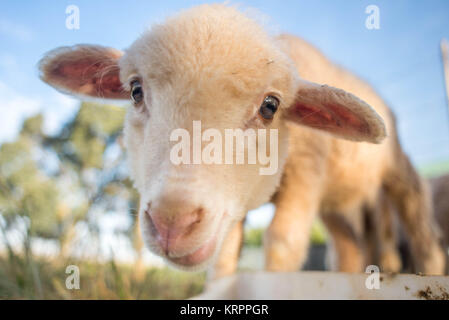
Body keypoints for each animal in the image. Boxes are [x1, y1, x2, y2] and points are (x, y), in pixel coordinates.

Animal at [36, 3, 442, 276]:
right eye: (136, 91)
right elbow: (227, 252)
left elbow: (283, 242)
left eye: (270, 106)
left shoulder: (306, 172)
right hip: (336, 200)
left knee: (414, 210)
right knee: (348, 248)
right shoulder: (234, 203)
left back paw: (433, 266)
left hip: (395, 164)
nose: (172, 224)